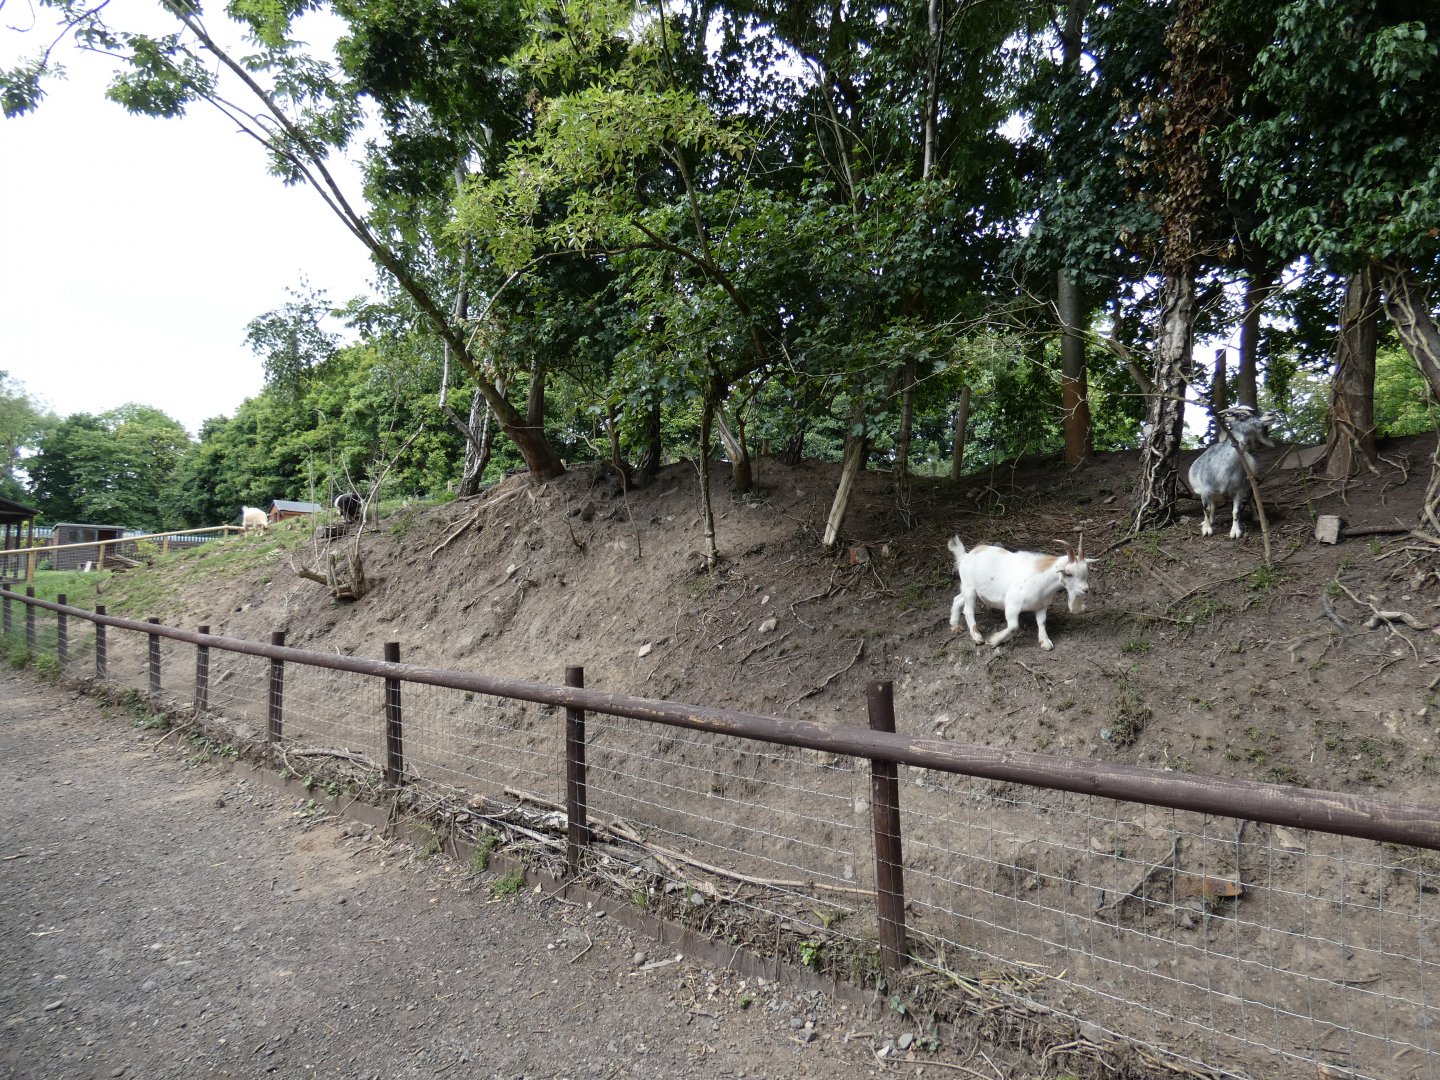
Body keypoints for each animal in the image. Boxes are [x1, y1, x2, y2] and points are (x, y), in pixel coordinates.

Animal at [948, 536, 1092, 651]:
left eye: (1086, 572)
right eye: (1069, 573)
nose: (1085, 590)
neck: (1041, 582)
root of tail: (966, 556)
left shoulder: (1042, 606)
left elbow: (1042, 622)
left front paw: (1045, 642)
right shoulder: (1012, 605)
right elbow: (1013, 626)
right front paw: (994, 640)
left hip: (971, 590)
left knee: (957, 599)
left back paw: (955, 626)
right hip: (969, 588)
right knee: (968, 610)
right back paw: (977, 637)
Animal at [1187, 406, 1280, 539]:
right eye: (1242, 414)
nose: (1271, 414)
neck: (1222, 470)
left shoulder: (1239, 491)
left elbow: (1236, 511)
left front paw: (1235, 532)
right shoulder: (1205, 490)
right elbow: (1206, 509)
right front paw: (1206, 528)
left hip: (1249, 486)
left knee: (1250, 500)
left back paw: (1256, 517)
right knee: (1213, 505)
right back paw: (1211, 520)